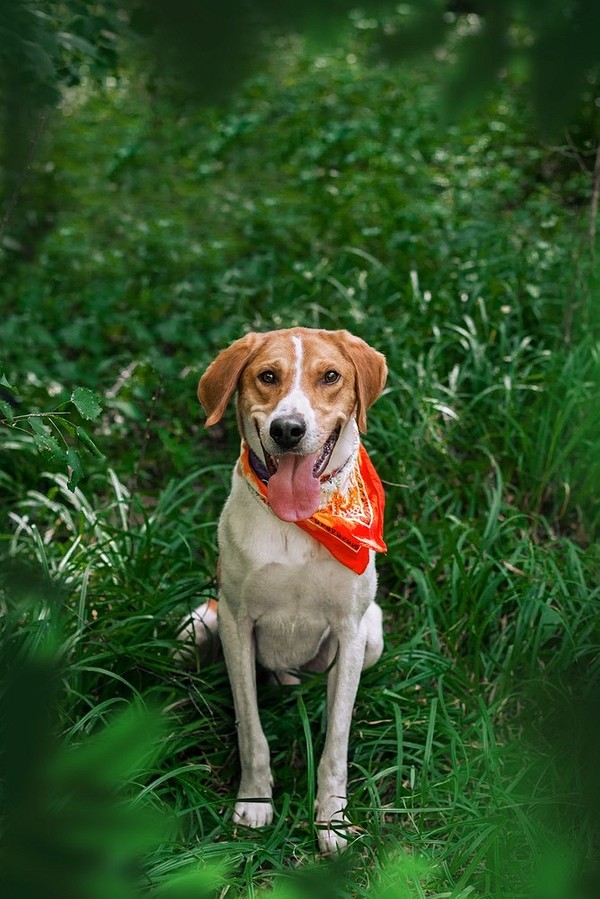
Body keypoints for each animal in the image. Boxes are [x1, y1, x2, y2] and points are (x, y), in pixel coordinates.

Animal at [183, 326, 386, 856]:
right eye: (267, 376)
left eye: (330, 376)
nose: (288, 430)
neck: (301, 522)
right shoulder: (236, 622)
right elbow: (251, 732)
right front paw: (254, 803)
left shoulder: (351, 630)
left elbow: (336, 742)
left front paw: (332, 822)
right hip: (200, 623)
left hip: (374, 635)